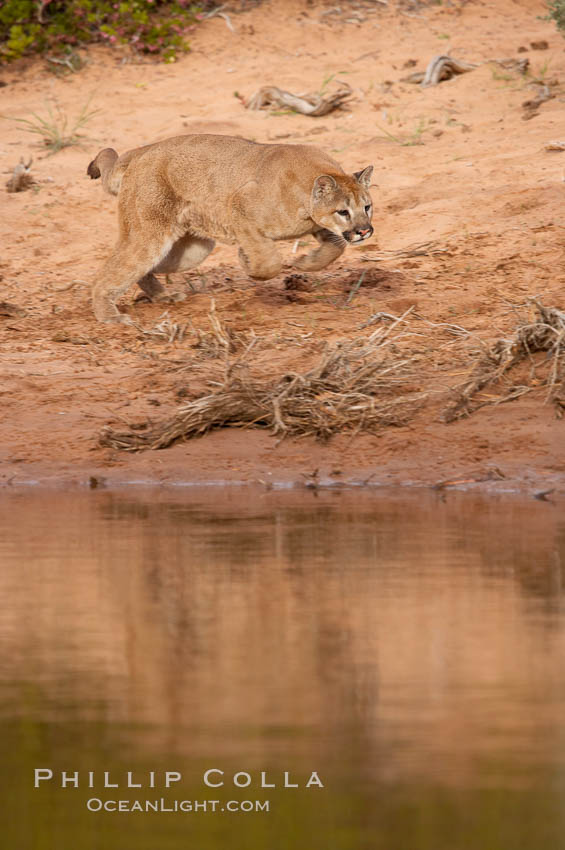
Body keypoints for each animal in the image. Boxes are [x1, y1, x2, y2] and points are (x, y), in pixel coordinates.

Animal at [86, 134, 372, 322]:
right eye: (343, 212)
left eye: (367, 207)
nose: (364, 231)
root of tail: (143, 151)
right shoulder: (239, 208)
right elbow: (269, 262)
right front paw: (248, 262)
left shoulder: (321, 227)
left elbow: (335, 248)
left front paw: (306, 262)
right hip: (149, 234)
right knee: (110, 272)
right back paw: (111, 318)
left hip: (191, 251)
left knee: (143, 271)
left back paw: (163, 297)